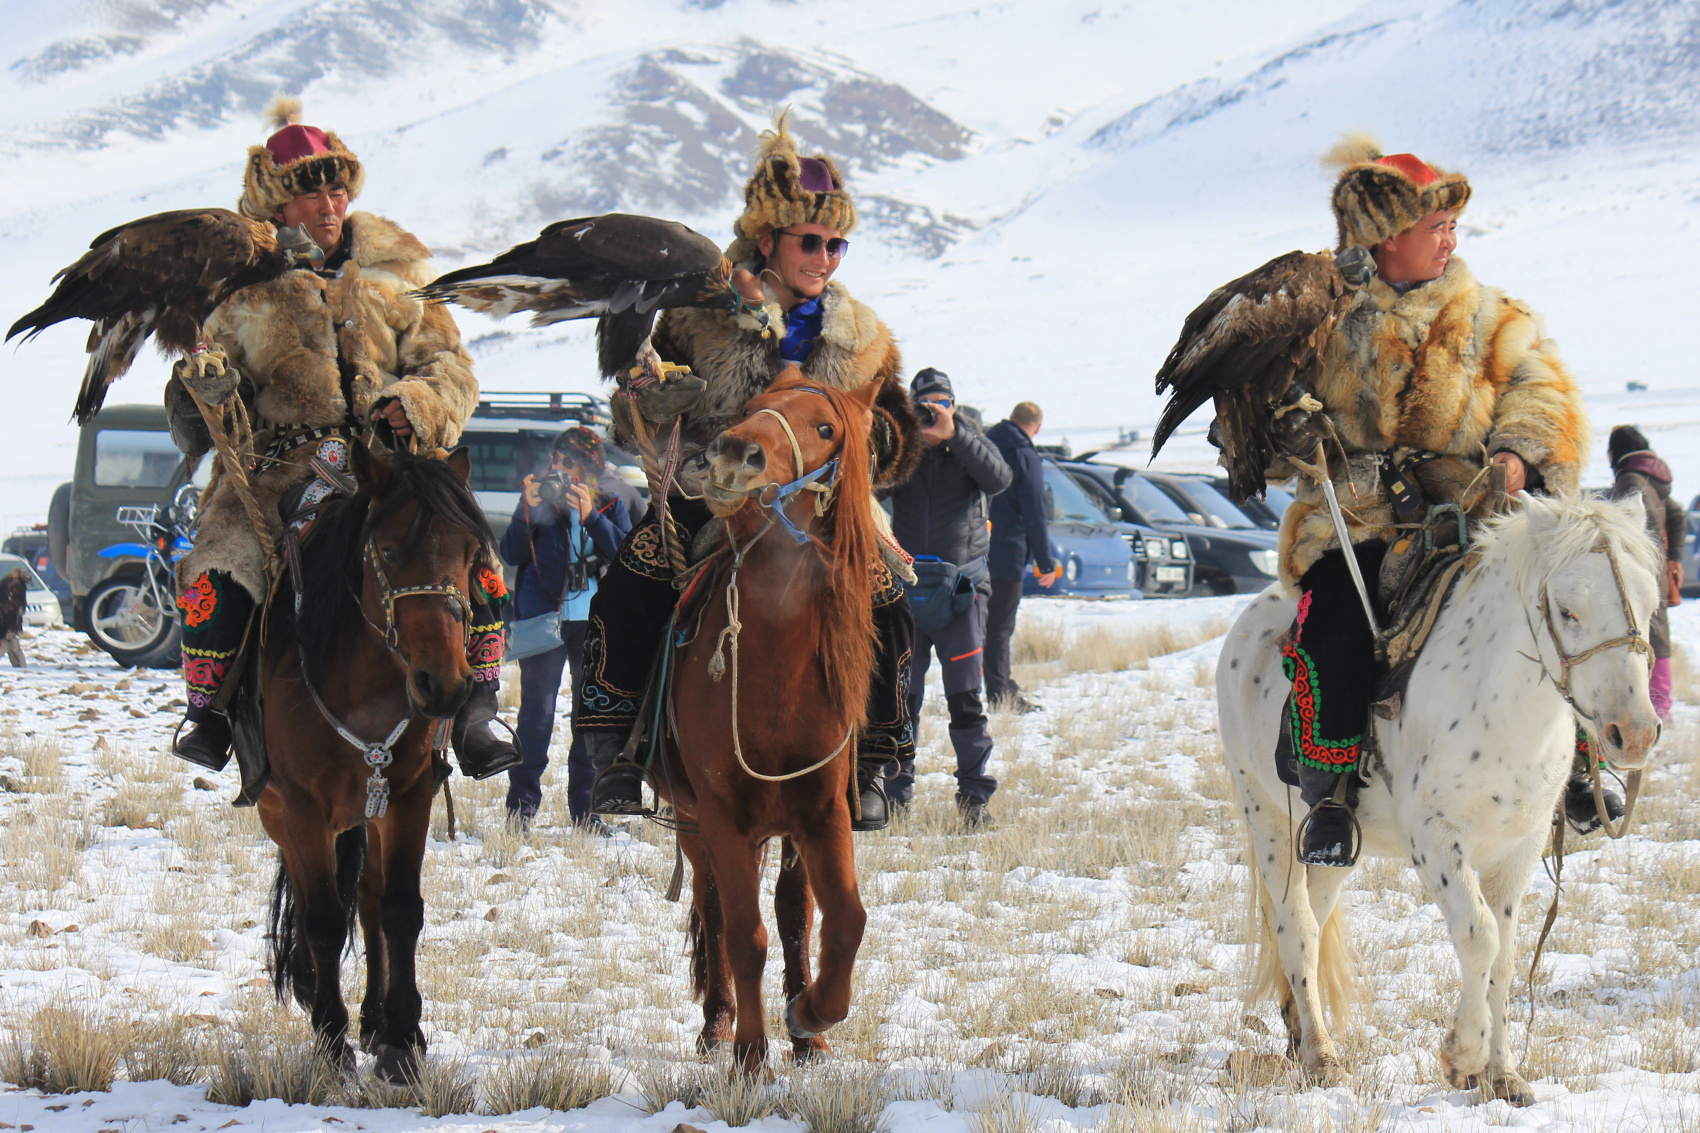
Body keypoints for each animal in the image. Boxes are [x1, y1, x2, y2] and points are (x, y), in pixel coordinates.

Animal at [255, 442, 493, 1075]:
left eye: (471, 554)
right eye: (387, 551)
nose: (444, 686)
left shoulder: (407, 795)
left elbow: (399, 908)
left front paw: (402, 1038)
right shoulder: (304, 809)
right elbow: (320, 917)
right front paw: (331, 1038)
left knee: (366, 901)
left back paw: (372, 1018)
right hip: (280, 813)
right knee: (318, 904)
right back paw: (319, 993)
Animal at [659, 369, 884, 1068]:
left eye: (825, 428)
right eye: (752, 408)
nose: (734, 453)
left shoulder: (822, 811)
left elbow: (843, 918)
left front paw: (811, 1013)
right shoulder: (724, 818)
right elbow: (743, 934)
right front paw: (751, 1056)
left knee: (792, 910)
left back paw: (807, 1038)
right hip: (693, 822)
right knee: (713, 911)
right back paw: (717, 1024)